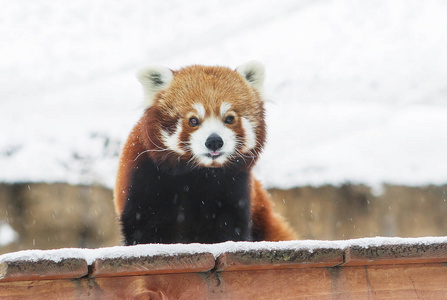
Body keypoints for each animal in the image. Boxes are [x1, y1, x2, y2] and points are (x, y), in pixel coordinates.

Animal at [115, 62, 298, 244]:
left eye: (229, 118)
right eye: (193, 120)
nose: (214, 141)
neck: (200, 175)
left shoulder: (235, 188)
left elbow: (231, 228)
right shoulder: (146, 180)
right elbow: (146, 228)